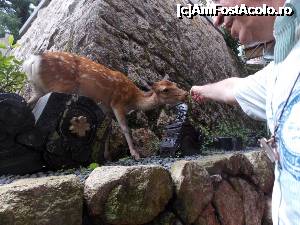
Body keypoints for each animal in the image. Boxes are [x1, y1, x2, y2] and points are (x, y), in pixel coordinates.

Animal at [23, 51, 188, 160]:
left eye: (174, 83)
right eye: (165, 90)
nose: (185, 94)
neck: (133, 100)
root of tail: (33, 62)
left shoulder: (107, 108)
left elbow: (108, 128)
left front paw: (107, 156)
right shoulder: (117, 103)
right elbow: (125, 128)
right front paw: (135, 154)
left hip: (39, 89)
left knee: (28, 103)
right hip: (59, 86)